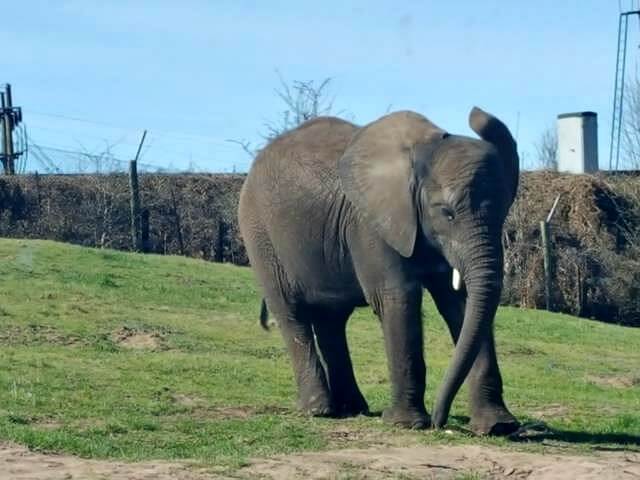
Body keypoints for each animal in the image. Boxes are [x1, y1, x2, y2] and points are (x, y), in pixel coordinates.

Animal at [239, 108, 520, 436]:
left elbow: (460, 304)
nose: (440, 422)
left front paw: (498, 427)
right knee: (291, 314)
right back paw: (319, 410)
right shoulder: (371, 225)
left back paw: (351, 408)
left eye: (503, 212)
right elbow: (398, 297)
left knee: (331, 321)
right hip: (260, 234)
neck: (422, 151)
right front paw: (407, 424)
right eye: (446, 213)